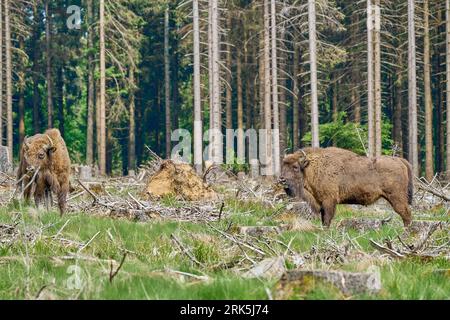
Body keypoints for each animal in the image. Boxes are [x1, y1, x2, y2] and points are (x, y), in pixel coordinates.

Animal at [282, 148, 414, 228]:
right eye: (283, 165)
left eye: (295, 167)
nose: (282, 179)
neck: (311, 167)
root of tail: (399, 160)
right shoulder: (320, 202)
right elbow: (323, 219)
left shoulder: (329, 201)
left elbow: (327, 219)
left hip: (396, 197)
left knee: (406, 214)